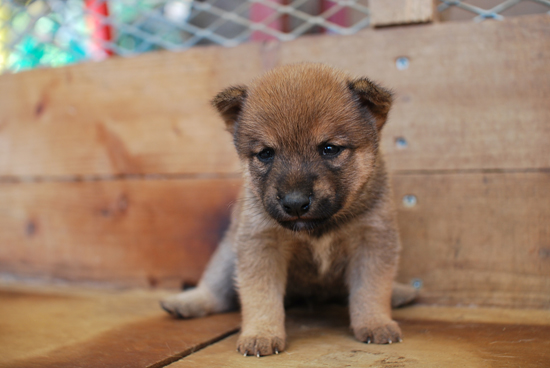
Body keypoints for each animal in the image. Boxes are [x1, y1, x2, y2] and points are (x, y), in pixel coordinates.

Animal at [162, 62, 416, 356]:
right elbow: (260, 295)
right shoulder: (261, 243)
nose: (294, 203)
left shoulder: (372, 239)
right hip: (227, 255)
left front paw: (376, 322)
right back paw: (186, 302)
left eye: (330, 148)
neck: (319, 229)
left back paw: (399, 293)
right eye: (265, 153)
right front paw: (261, 333)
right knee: (216, 290)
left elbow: (371, 290)